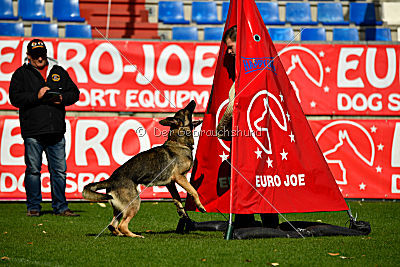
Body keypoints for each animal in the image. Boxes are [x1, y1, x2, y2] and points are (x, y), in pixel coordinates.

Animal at [82, 101, 206, 239]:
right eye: (186, 110)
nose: (193, 101)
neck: (179, 142)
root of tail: (111, 180)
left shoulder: (170, 184)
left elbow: (177, 199)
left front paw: (183, 214)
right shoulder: (179, 177)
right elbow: (193, 191)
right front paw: (200, 206)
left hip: (120, 208)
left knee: (112, 225)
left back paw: (120, 234)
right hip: (135, 202)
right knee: (122, 225)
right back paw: (135, 235)